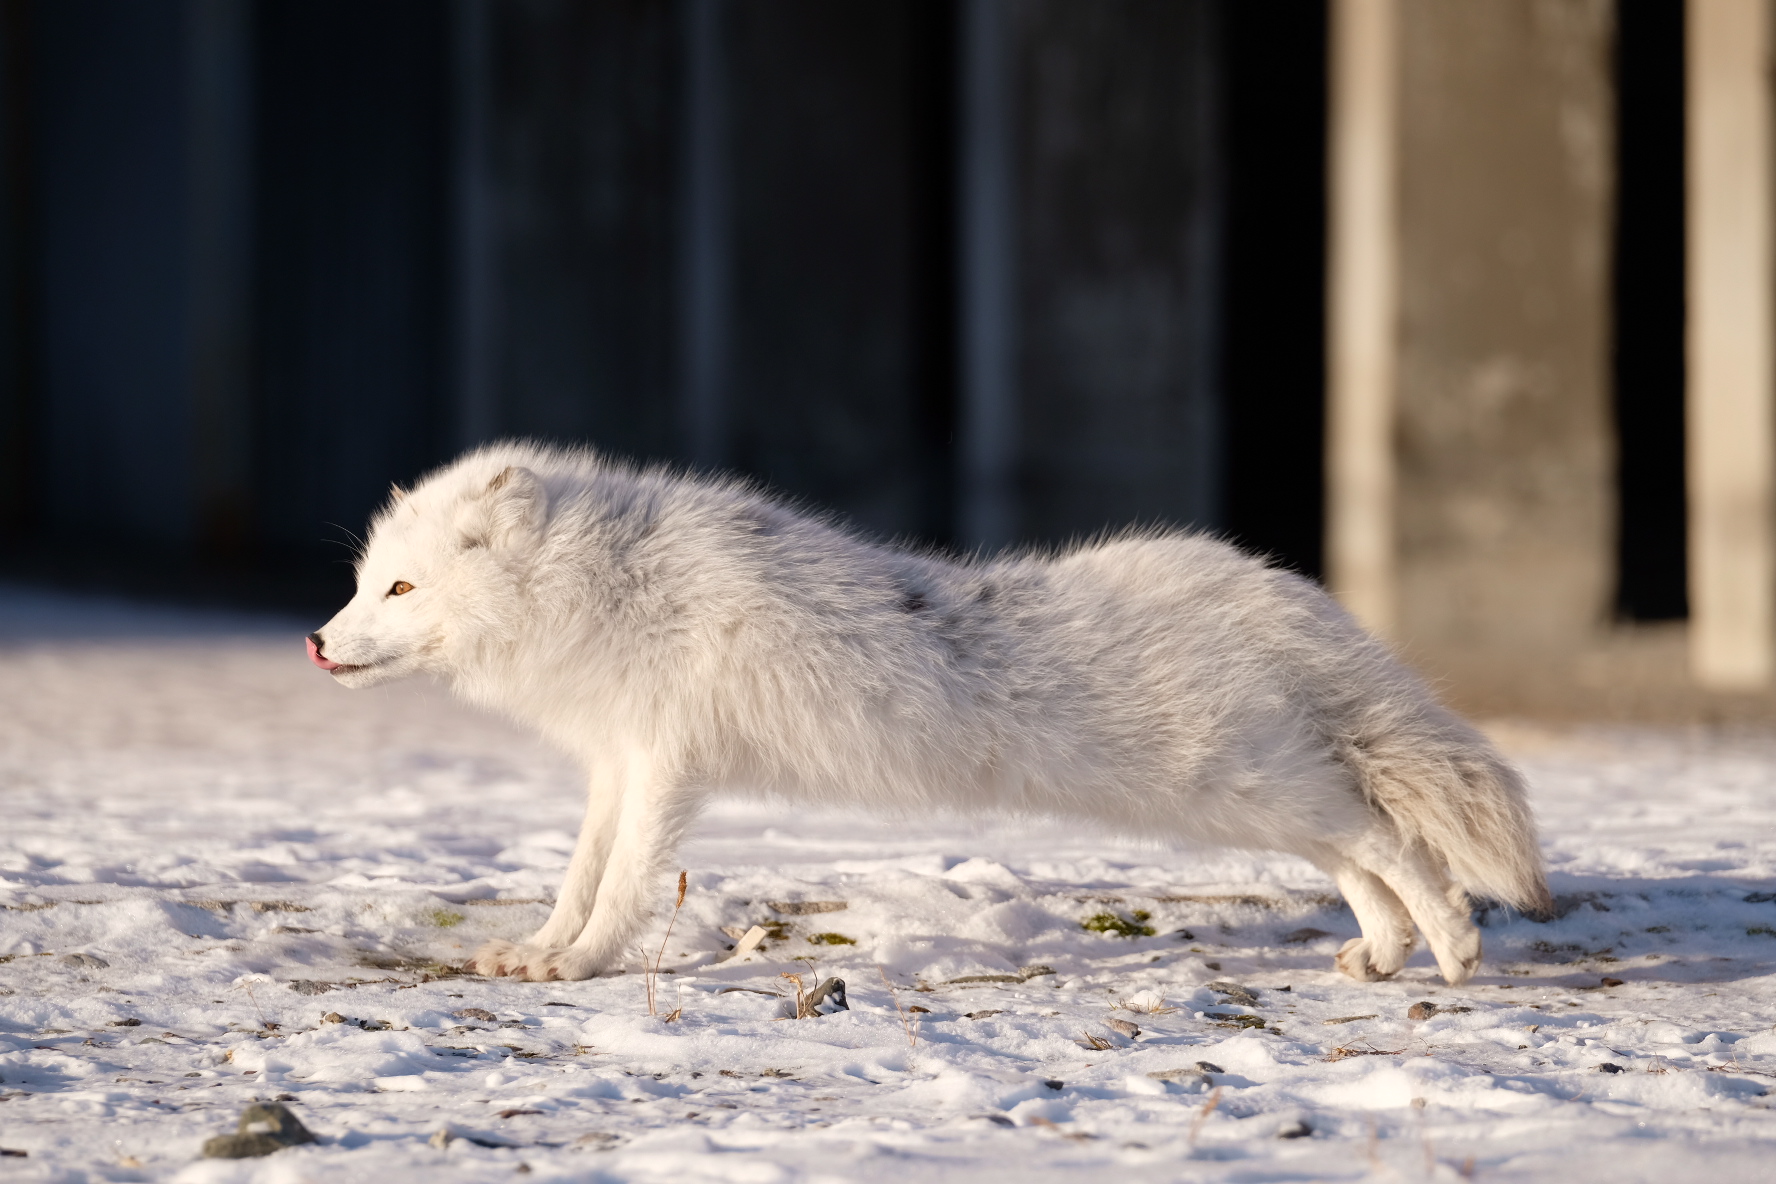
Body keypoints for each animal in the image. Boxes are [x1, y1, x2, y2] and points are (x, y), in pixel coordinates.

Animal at [309, 440, 1555, 986]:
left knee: (1391, 840)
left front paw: (579, 967)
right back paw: (1382, 953)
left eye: (401, 589)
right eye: (366, 583)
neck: (615, 583)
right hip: (1263, 798)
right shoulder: (617, 761)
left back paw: (1452, 948)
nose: (318, 642)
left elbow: (619, 887)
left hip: (1248, 787)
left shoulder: (667, 765)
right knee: (1361, 855)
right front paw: (540, 949)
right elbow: (577, 877)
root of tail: (1262, 585)